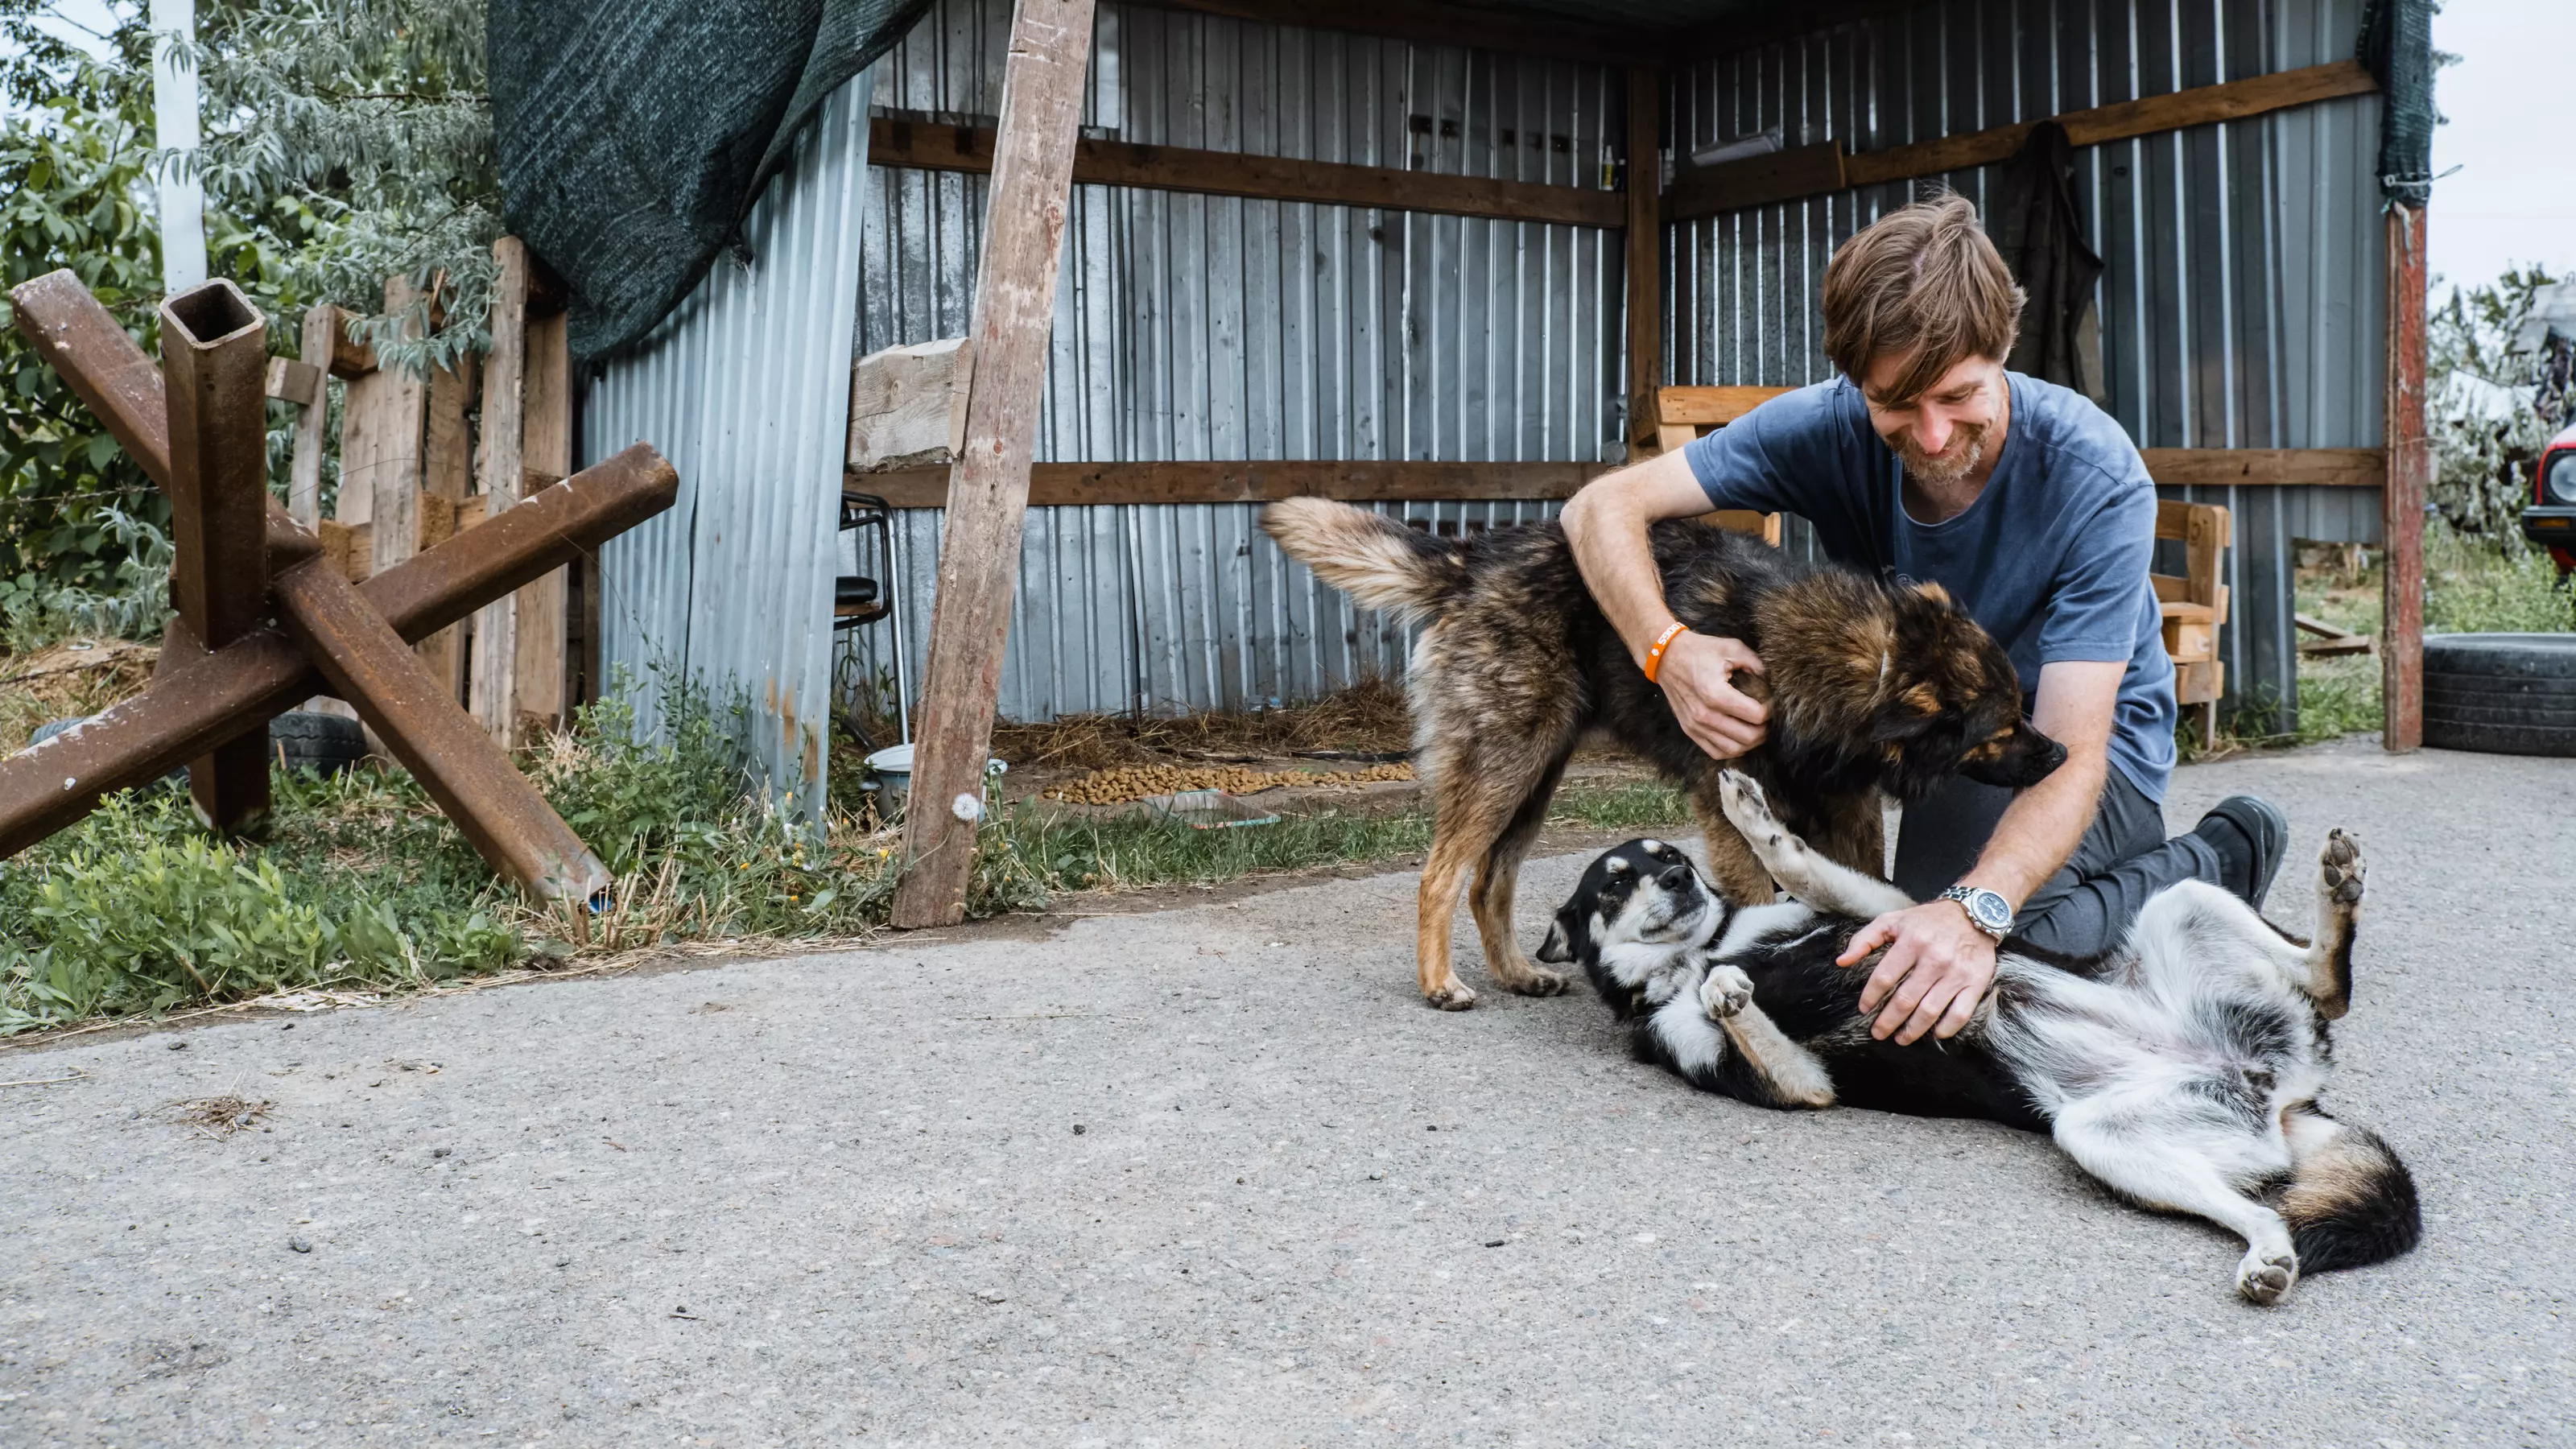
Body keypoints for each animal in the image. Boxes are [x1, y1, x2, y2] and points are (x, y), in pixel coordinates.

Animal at [1257, 502, 2061, 1010]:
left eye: (2021, 708)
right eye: (2003, 723)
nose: (2062, 754)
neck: (1861, 663)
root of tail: (1474, 555)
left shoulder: (1847, 804)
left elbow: (1861, 879)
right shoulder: (1727, 806)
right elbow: (1757, 892)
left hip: (1538, 774)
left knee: (1489, 882)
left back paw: (1516, 973)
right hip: (1505, 762)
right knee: (1442, 874)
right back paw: (1439, 982)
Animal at [1535, 773, 2421, 1304]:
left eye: (1670, 858)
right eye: (1614, 881)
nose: (1680, 878)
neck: (1703, 946)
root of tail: (2286, 1097)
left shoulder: (1887, 909)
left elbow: (1798, 861)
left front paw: (1752, 816)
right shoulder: (1799, 1083)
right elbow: (1744, 1013)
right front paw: (1729, 989)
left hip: (2183, 905)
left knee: (2329, 986)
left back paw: (2337, 895)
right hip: (2103, 1135)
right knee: (2265, 1210)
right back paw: (2267, 1257)